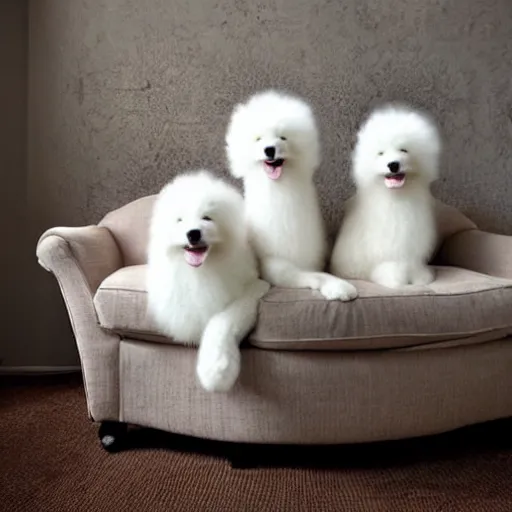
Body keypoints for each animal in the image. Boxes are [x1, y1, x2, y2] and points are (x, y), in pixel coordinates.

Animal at [146, 171, 270, 392]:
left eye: (207, 217)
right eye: (180, 220)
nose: (193, 233)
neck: (201, 271)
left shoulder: (254, 287)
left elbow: (224, 320)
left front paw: (218, 369)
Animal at [226, 90, 358, 302]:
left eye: (283, 137)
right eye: (258, 139)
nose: (269, 149)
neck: (280, 193)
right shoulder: (271, 261)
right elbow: (306, 274)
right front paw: (338, 287)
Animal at [330, 104, 442, 288]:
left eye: (404, 150)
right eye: (381, 153)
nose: (393, 165)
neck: (398, 198)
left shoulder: (411, 243)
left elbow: (413, 264)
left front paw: (420, 279)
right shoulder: (389, 246)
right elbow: (392, 266)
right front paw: (395, 280)